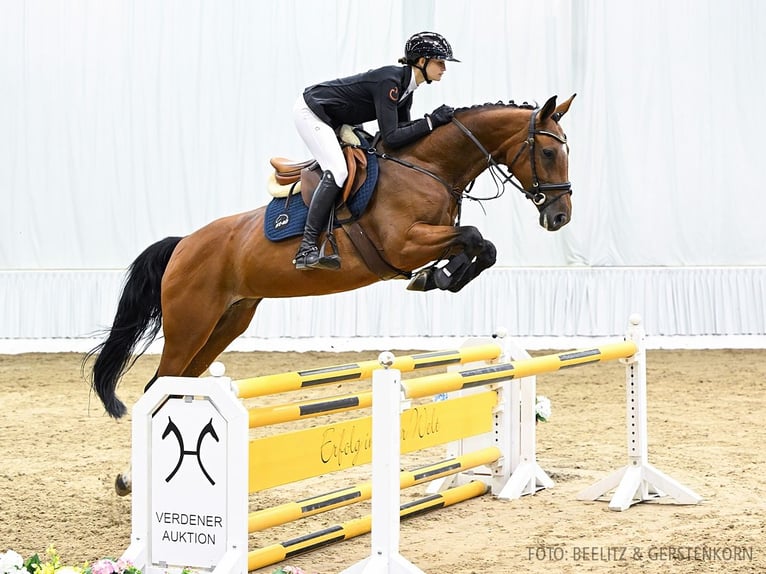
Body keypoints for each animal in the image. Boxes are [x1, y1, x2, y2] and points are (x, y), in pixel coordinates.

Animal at [85, 93, 576, 496]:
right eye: (549, 152)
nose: (560, 216)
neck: (429, 168)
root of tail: (184, 243)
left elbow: (482, 247)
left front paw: (439, 277)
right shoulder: (403, 244)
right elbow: (474, 236)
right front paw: (434, 277)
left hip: (226, 322)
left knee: (181, 383)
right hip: (192, 322)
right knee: (158, 384)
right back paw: (132, 480)